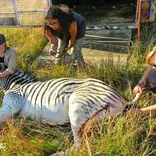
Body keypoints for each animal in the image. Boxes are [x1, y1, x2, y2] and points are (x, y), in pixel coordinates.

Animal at [0, 69, 140, 149]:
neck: (15, 85)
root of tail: (122, 99)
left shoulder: (12, 102)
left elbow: (2, 116)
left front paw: (3, 144)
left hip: (77, 108)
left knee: (77, 146)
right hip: (99, 118)